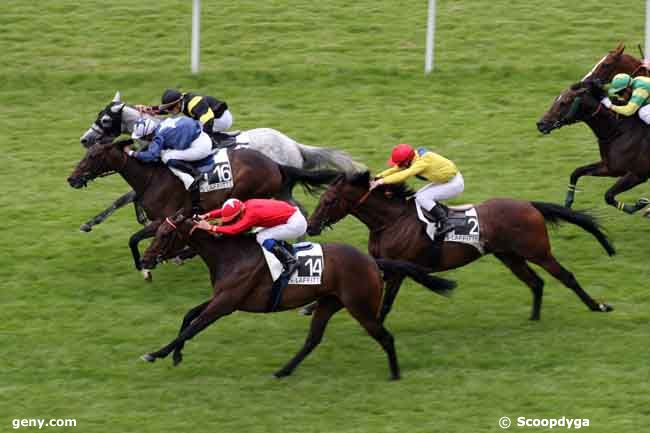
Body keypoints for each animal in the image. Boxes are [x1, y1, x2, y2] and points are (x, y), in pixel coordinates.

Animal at [67, 138, 340, 274]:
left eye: (94, 156)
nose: (71, 179)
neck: (151, 177)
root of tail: (275, 164)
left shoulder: (165, 217)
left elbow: (133, 238)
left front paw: (146, 265)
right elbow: (135, 236)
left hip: (244, 195)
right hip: (277, 193)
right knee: (297, 211)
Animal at [78, 91, 362, 233]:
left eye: (105, 120)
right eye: (98, 116)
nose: (85, 139)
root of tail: (294, 145)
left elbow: (126, 197)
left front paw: (92, 223)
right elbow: (127, 198)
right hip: (281, 189)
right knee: (296, 208)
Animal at [136, 211, 454, 380]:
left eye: (165, 234)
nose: (147, 259)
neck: (231, 255)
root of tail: (372, 262)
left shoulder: (226, 303)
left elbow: (194, 326)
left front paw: (157, 353)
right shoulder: (224, 298)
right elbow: (189, 315)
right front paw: (176, 355)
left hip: (360, 307)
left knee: (385, 337)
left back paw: (395, 374)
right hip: (329, 302)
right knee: (313, 339)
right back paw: (283, 371)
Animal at [304, 171, 612, 320]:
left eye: (329, 201)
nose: (311, 226)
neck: (390, 221)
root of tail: (529, 205)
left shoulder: (397, 269)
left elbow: (386, 302)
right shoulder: (384, 265)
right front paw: (310, 306)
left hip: (537, 251)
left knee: (566, 276)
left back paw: (597, 306)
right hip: (509, 256)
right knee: (535, 282)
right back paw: (534, 318)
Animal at [536, 80, 648, 215]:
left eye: (564, 102)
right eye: (556, 99)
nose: (540, 124)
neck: (618, 130)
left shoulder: (637, 174)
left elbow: (608, 196)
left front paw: (638, 206)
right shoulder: (610, 168)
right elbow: (576, 172)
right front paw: (568, 202)